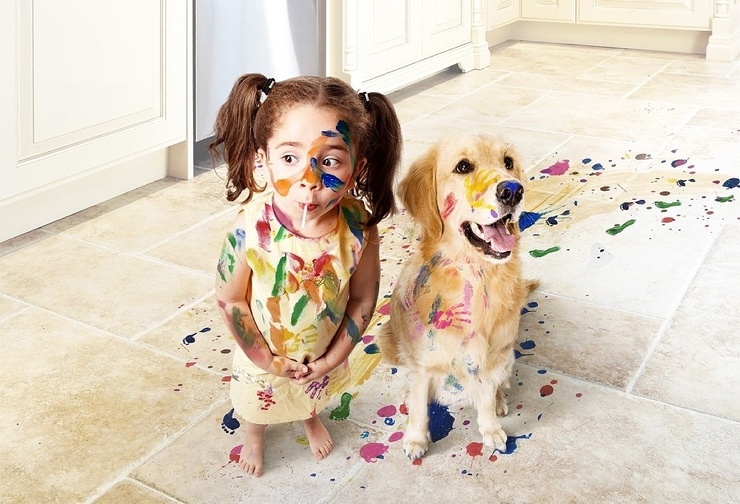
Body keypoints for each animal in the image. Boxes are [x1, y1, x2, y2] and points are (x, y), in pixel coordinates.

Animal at [378, 132, 536, 458]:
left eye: (508, 162)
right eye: (463, 166)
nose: (513, 191)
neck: (476, 279)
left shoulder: (489, 359)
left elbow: (486, 397)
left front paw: (491, 431)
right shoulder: (423, 365)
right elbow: (419, 407)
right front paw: (416, 439)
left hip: (507, 353)